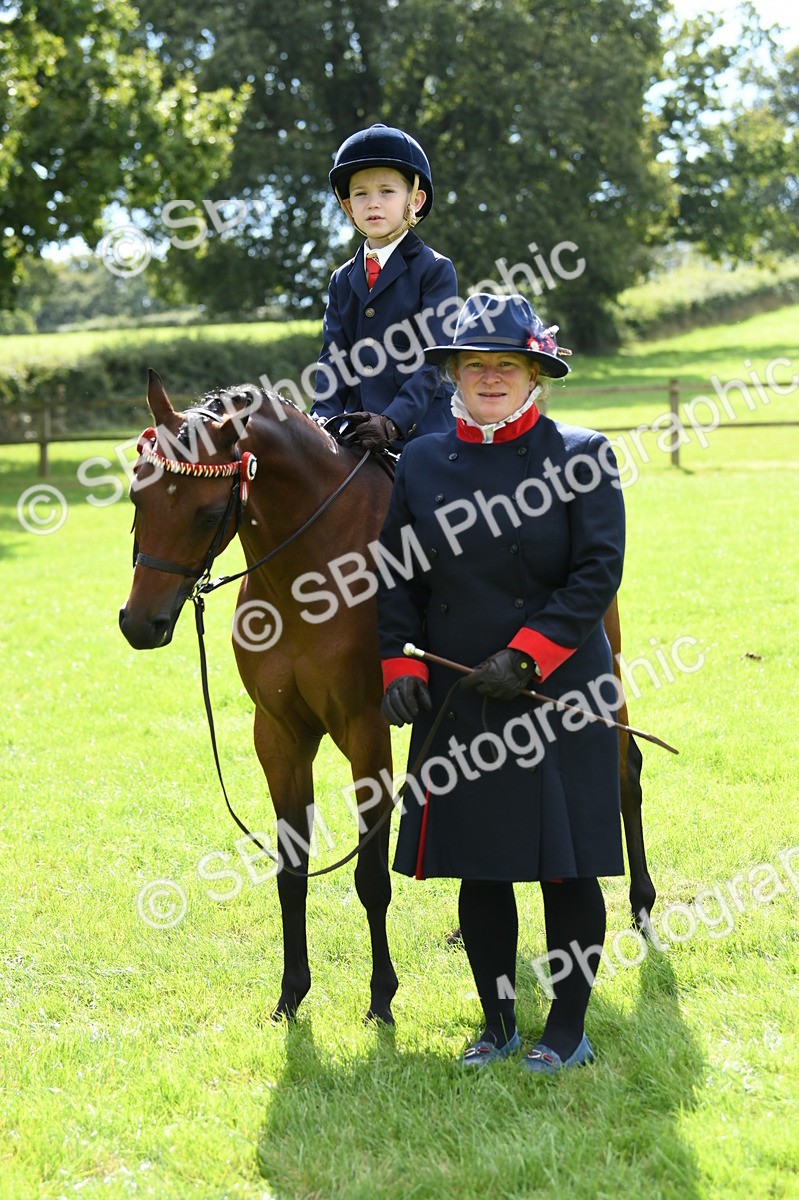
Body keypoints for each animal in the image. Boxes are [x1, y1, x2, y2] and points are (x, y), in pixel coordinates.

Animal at [119, 370, 655, 1023]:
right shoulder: (278, 734)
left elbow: (371, 876)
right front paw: (291, 993)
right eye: (138, 497)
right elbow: (291, 870)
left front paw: (381, 996)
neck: (308, 575)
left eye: (205, 513)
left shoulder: (365, 731)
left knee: (625, 773)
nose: (139, 624)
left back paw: (642, 905)